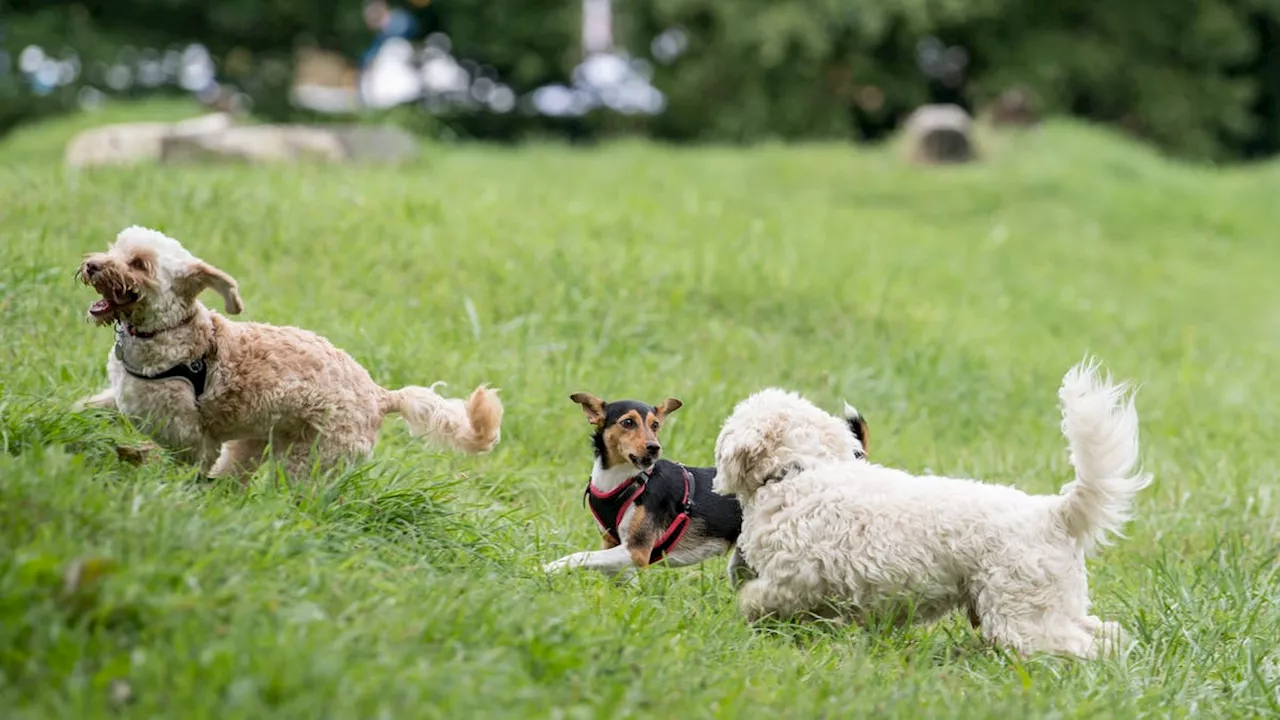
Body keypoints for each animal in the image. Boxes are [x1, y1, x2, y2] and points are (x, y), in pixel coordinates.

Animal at [540, 389, 870, 579]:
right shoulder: (615, 546)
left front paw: (550, 568)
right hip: (743, 561)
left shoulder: (636, 551)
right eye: (628, 423)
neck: (627, 482)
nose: (653, 448)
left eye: (655, 425)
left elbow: (580, 556)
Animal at [711, 358, 1152, 655]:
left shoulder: (795, 580)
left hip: (1024, 618)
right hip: (1056, 607)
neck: (801, 471)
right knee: (1108, 634)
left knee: (1085, 648)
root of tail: (1054, 514)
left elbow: (755, 599)